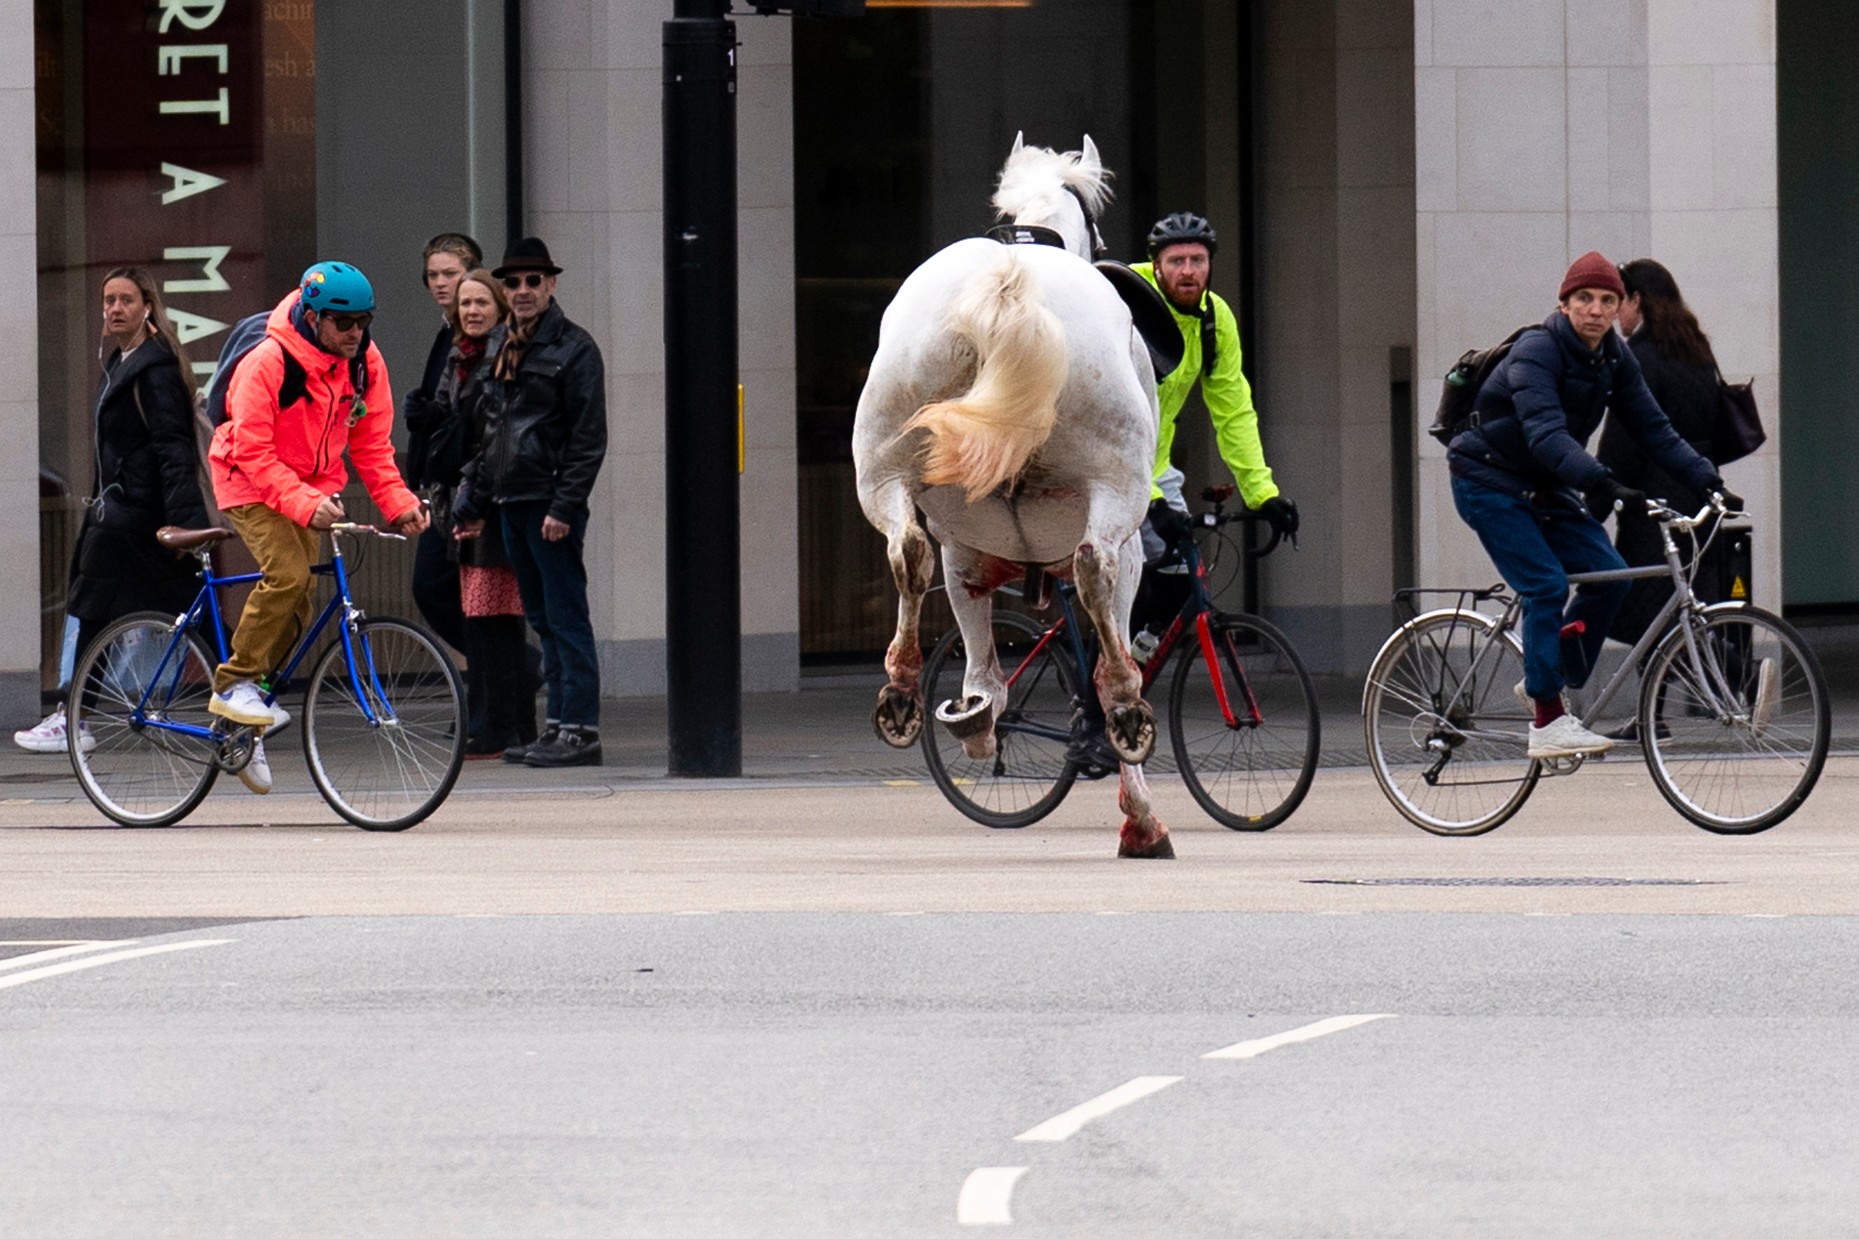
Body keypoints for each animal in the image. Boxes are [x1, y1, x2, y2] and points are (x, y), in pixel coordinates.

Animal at [851, 133, 1167, 848]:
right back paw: (1127, 712)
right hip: (1114, 490)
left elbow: (982, 672)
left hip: (883, 465)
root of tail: (1009, 281)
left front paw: (973, 719)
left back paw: (904, 690)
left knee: (907, 551)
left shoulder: (965, 556)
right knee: (1096, 570)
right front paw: (1140, 816)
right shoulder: (1132, 550)